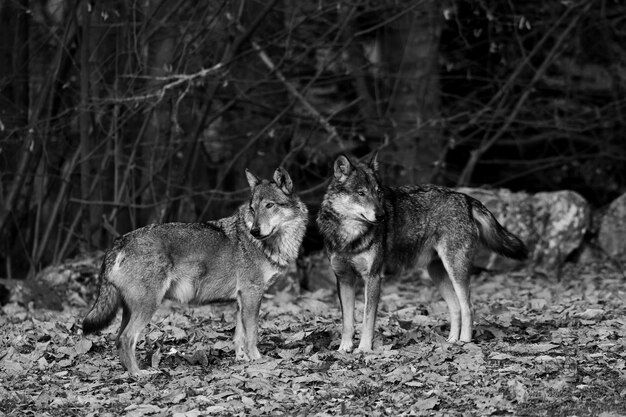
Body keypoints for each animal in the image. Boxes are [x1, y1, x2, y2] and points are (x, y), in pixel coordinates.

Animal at [83, 166, 308, 374]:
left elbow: (239, 336)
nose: (254, 230)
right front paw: (258, 360)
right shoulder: (252, 293)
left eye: (269, 205)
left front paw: (242, 360)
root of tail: (120, 241)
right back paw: (138, 374)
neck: (270, 245)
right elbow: (252, 334)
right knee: (126, 338)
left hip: (130, 309)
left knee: (117, 338)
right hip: (148, 306)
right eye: (253, 209)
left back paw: (129, 371)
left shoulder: (242, 298)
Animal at [314, 153, 524, 352]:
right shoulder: (344, 279)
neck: (350, 238)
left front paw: (364, 349)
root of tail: (465, 197)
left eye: (378, 193)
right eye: (361, 193)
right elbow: (347, 322)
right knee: (456, 308)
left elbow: (367, 320)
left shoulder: (373, 277)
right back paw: (452, 341)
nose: (381, 216)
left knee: (468, 307)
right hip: (437, 274)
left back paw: (465, 342)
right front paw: (344, 348)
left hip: (456, 271)